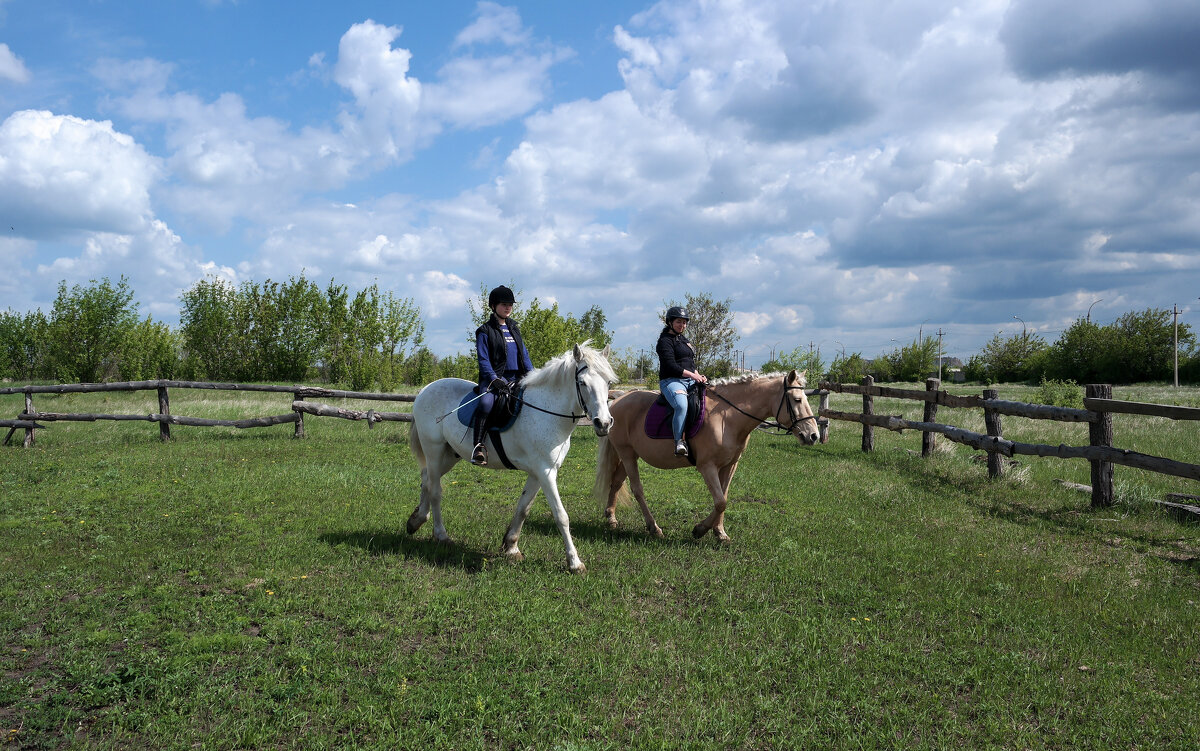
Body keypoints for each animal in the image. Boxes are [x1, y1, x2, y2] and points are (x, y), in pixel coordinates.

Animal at [405, 343, 614, 571]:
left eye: (608, 382)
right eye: (582, 382)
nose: (603, 423)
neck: (547, 411)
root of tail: (426, 389)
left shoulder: (539, 473)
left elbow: (523, 508)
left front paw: (511, 547)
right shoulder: (546, 472)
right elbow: (561, 516)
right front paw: (575, 562)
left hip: (450, 455)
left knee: (426, 479)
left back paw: (416, 520)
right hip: (434, 450)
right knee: (435, 490)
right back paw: (441, 535)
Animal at [595, 369, 820, 539]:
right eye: (797, 400)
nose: (813, 435)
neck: (727, 417)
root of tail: (617, 401)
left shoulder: (730, 464)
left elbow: (723, 497)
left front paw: (719, 533)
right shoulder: (707, 466)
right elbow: (720, 501)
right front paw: (700, 529)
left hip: (630, 455)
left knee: (616, 482)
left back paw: (611, 517)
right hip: (627, 454)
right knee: (637, 489)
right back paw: (654, 528)